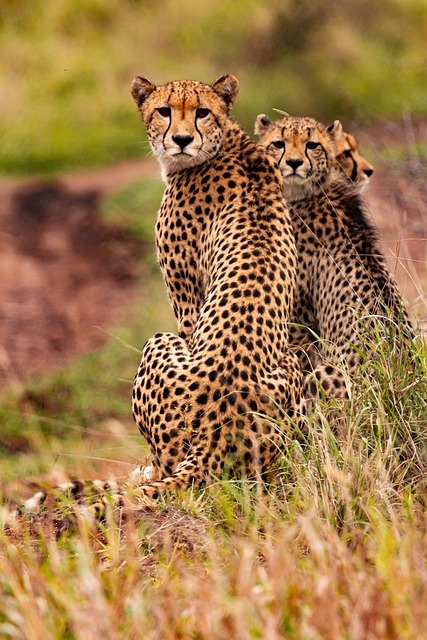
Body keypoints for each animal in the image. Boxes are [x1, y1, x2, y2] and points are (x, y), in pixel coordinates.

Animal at [129, 76, 302, 500]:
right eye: (164, 110)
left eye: (202, 112)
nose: (181, 139)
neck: (226, 142)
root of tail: (219, 430)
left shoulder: (186, 300)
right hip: (291, 364)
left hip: (157, 343)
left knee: (166, 465)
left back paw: (145, 474)